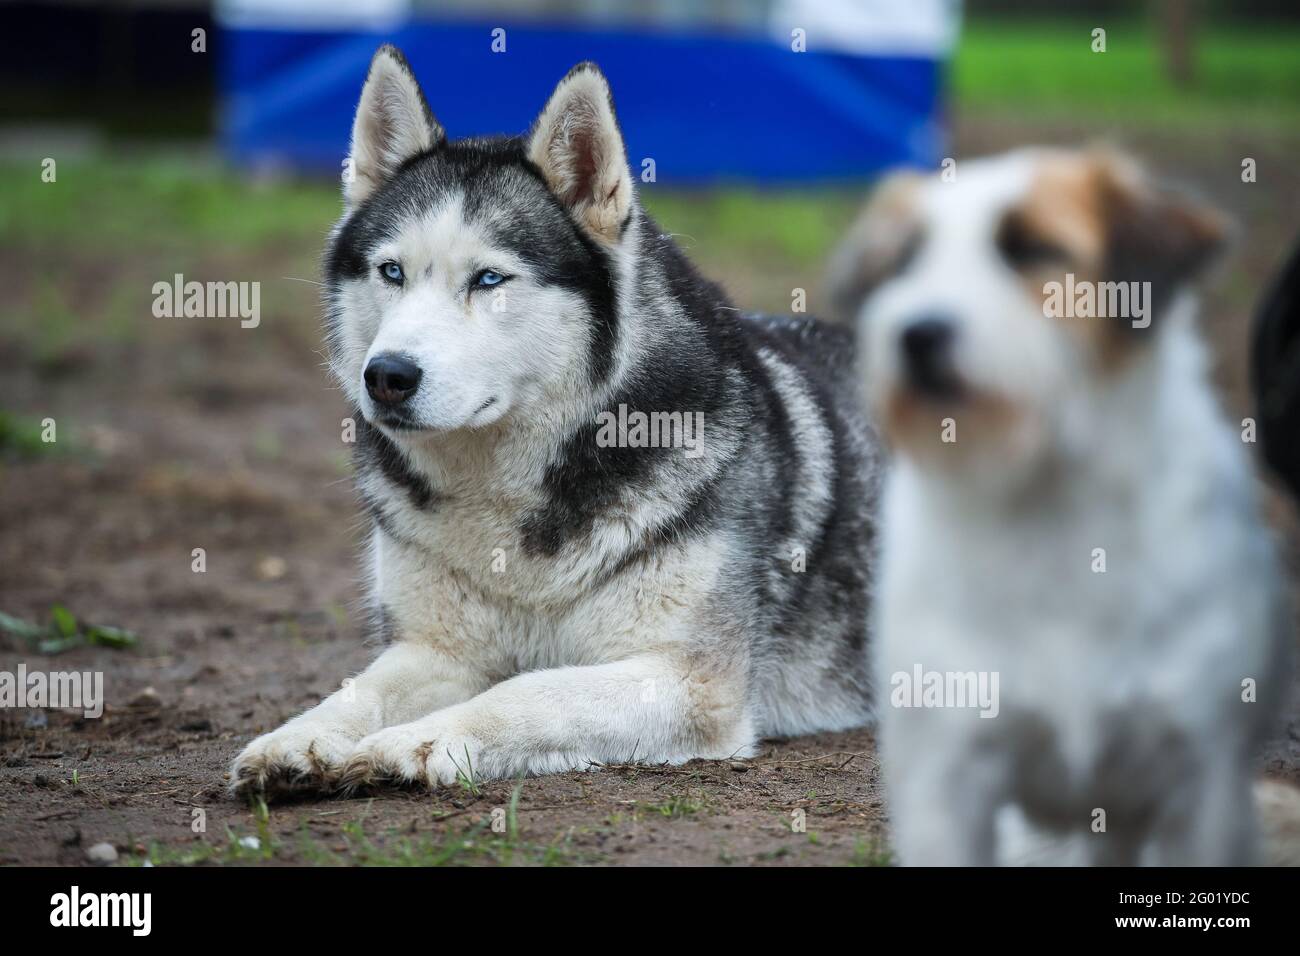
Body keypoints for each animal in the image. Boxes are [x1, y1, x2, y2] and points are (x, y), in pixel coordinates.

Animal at [233, 42, 883, 790]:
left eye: (489, 279)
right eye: (391, 271)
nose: (387, 376)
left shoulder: (687, 681)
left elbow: (528, 691)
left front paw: (422, 741)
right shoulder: (436, 650)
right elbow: (356, 691)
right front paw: (297, 739)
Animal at [826, 147, 1294, 868]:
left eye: (1034, 248)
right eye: (904, 262)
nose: (919, 332)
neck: (1047, 505)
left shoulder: (1200, 789)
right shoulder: (948, 784)